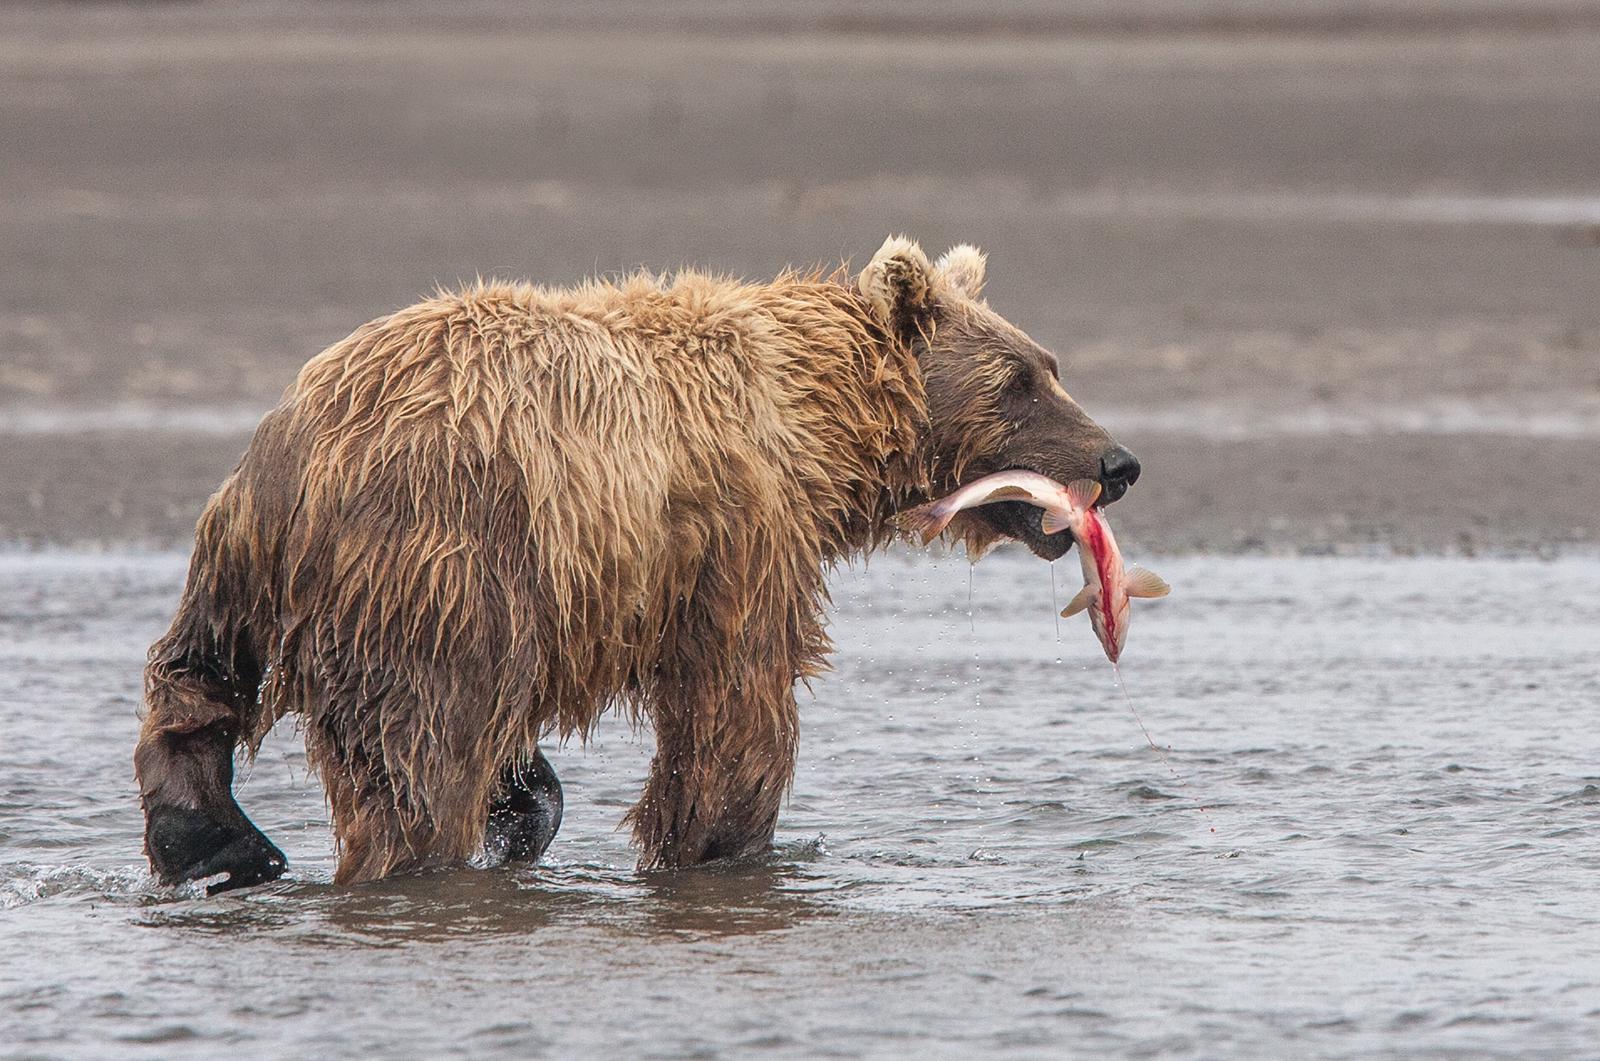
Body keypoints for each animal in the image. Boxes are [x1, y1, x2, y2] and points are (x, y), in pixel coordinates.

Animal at [134, 236, 1141, 892]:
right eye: (1017, 382)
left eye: (1049, 363)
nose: (1118, 460)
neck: (817, 429)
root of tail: (300, 450)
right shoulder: (738, 533)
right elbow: (736, 704)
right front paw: (718, 847)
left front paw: (535, 798)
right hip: (433, 553)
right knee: (418, 755)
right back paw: (408, 864)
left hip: (237, 559)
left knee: (194, 685)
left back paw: (215, 844)